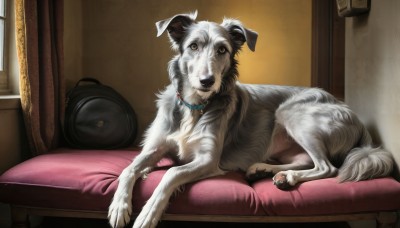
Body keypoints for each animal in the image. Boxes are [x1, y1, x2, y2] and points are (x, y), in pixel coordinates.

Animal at [107, 11, 394, 228]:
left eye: (222, 49)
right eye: (193, 46)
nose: (207, 81)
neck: (194, 106)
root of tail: (354, 116)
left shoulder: (208, 160)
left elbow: (171, 173)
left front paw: (148, 212)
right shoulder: (154, 147)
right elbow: (129, 168)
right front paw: (120, 205)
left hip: (291, 113)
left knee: (327, 168)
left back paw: (286, 176)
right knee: (305, 161)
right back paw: (269, 171)